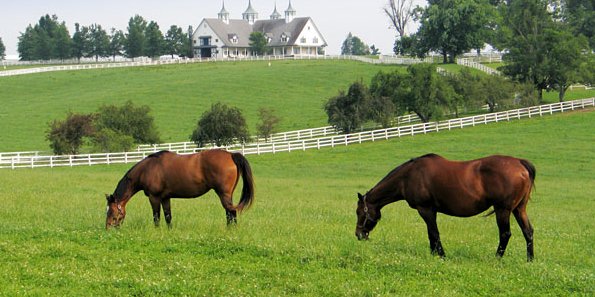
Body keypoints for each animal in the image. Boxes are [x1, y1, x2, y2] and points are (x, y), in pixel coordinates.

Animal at [106, 149, 255, 228]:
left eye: (112, 212)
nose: (108, 229)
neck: (147, 169)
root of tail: (231, 154)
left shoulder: (154, 198)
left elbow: (156, 217)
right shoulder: (165, 198)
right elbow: (168, 217)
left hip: (223, 194)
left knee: (231, 213)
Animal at [356, 154, 536, 260]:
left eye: (359, 212)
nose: (358, 234)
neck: (408, 176)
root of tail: (520, 163)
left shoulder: (426, 209)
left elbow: (434, 233)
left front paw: (441, 255)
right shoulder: (430, 211)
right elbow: (431, 234)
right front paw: (433, 254)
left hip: (503, 210)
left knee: (505, 234)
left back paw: (497, 258)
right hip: (519, 209)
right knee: (528, 232)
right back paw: (530, 260)